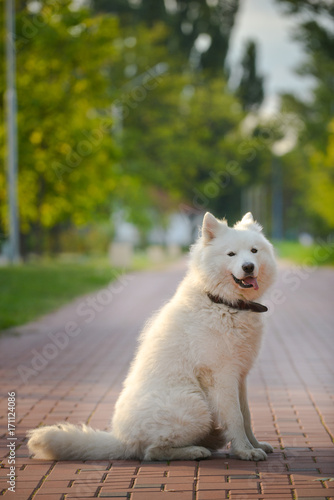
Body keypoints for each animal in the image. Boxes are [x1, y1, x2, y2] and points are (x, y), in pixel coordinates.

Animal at [27, 211, 276, 460]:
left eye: (254, 251)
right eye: (231, 254)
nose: (248, 267)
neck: (224, 303)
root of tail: (121, 440)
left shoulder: (240, 377)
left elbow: (247, 416)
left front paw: (256, 445)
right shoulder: (222, 376)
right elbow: (235, 418)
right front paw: (244, 451)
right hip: (196, 405)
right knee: (153, 451)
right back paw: (194, 451)